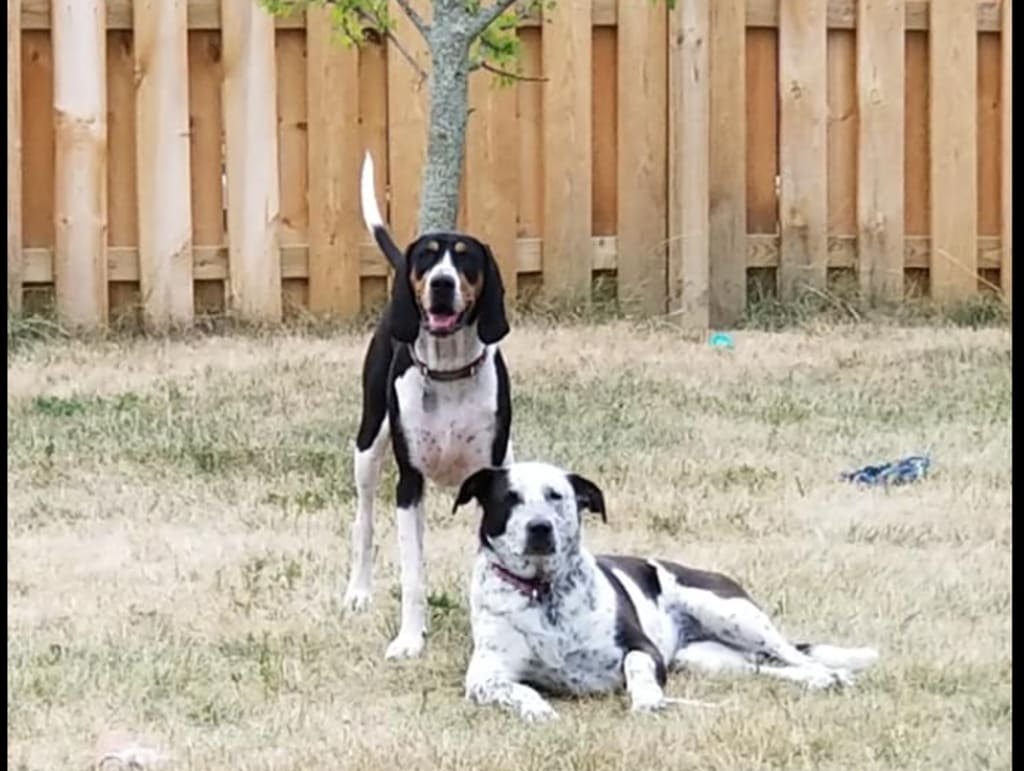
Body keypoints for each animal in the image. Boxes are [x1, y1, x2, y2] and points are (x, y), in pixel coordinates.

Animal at [343, 153, 514, 660]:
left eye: (466, 258)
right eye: (428, 256)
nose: (440, 283)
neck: (449, 374)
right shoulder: (409, 485)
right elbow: (413, 574)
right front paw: (409, 639)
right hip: (367, 447)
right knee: (363, 523)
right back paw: (358, 592)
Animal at [453, 461, 879, 720]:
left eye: (557, 495)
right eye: (510, 498)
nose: (540, 528)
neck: (544, 593)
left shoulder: (643, 649)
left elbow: (637, 671)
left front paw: (648, 701)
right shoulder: (484, 676)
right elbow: (516, 691)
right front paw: (536, 709)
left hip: (731, 615)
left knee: (798, 657)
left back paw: (831, 676)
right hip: (705, 659)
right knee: (765, 669)